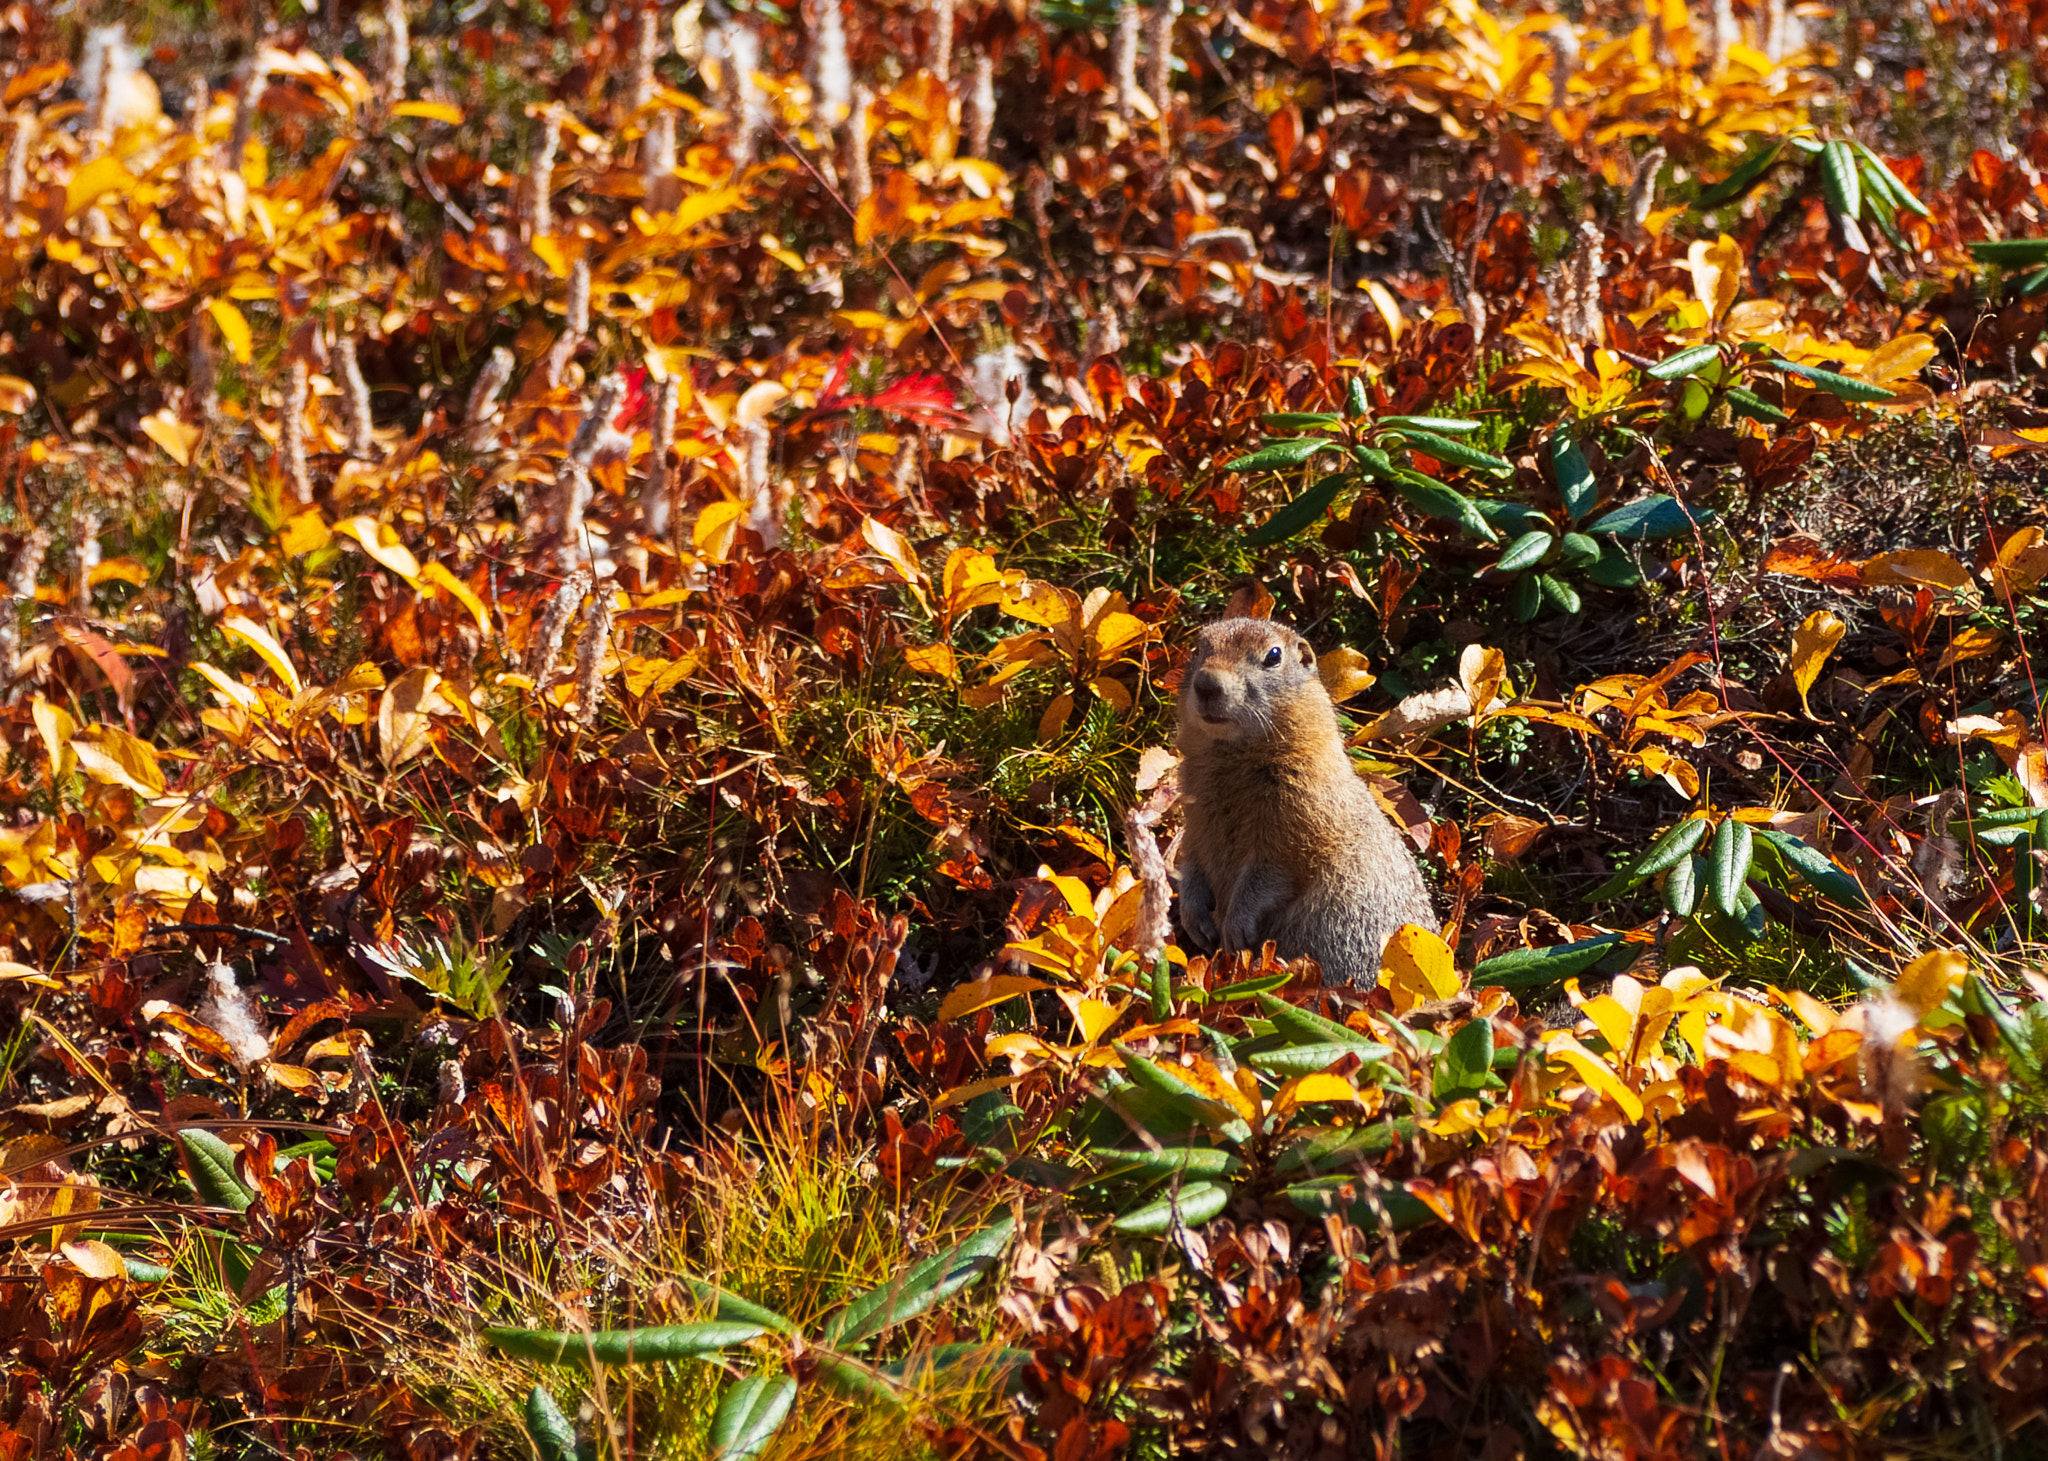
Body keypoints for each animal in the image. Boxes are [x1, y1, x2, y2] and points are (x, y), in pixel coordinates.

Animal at [1179, 610, 1433, 987]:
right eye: (1198, 647)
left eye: (1273, 656)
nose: (1207, 683)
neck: (1233, 756)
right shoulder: (1194, 814)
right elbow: (1192, 858)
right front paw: (1193, 915)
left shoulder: (1299, 817)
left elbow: (1273, 872)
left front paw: (1235, 928)